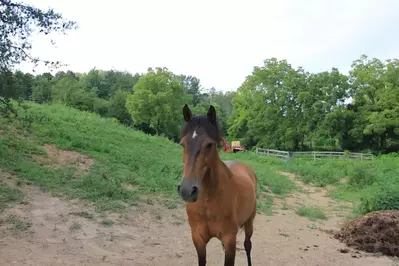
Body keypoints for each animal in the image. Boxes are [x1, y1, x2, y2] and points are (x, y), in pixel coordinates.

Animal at [177, 104, 258, 266]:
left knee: (248, 245)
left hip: (249, 222)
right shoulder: (198, 239)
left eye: (209, 144)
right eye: (183, 144)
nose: (187, 191)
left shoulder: (230, 240)